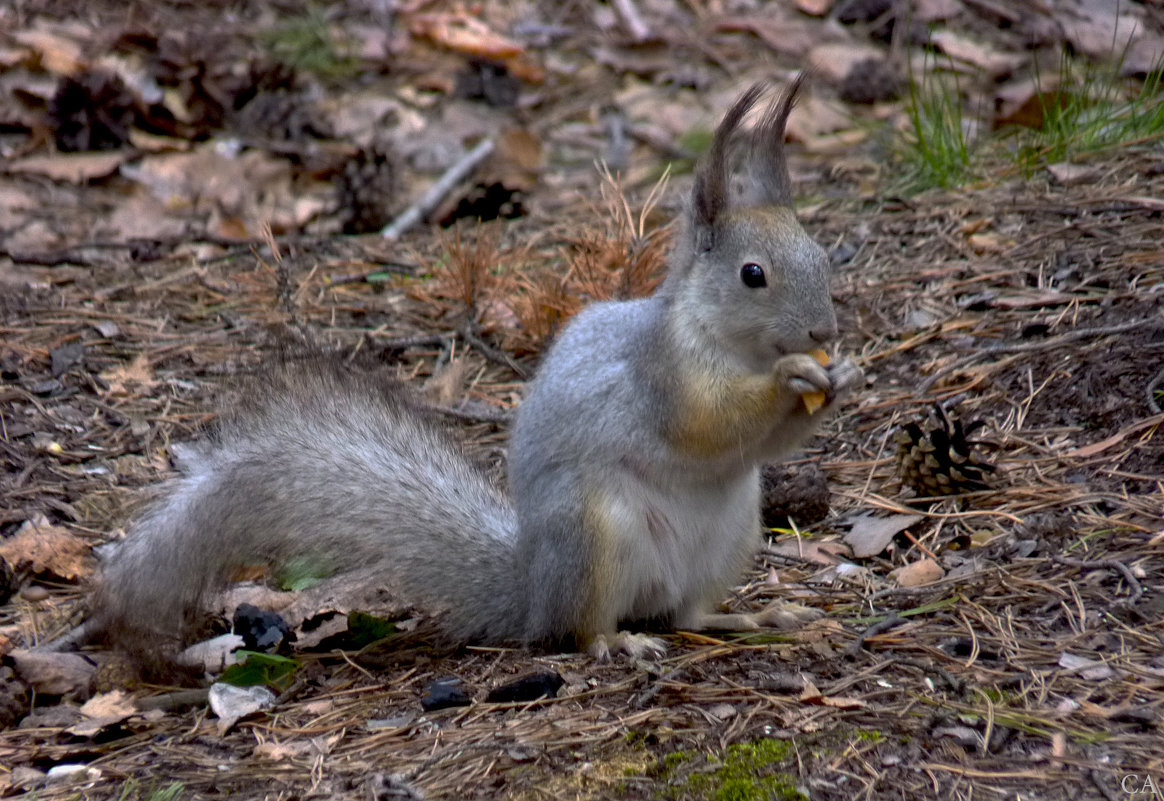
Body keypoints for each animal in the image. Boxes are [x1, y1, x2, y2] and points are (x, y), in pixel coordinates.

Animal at [95, 76, 866, 661]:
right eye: (752, 274)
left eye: (821, 255)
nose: (824, 331)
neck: (732, 344)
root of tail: (532, 590)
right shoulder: (664, 376)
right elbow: (709, 423)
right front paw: (793, 378)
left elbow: (764, 443)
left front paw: (843, 377)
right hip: (594, 536)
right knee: (579, 631)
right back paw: (613, 642)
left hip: (732, 532)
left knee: (687, 614)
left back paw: (746, 616)